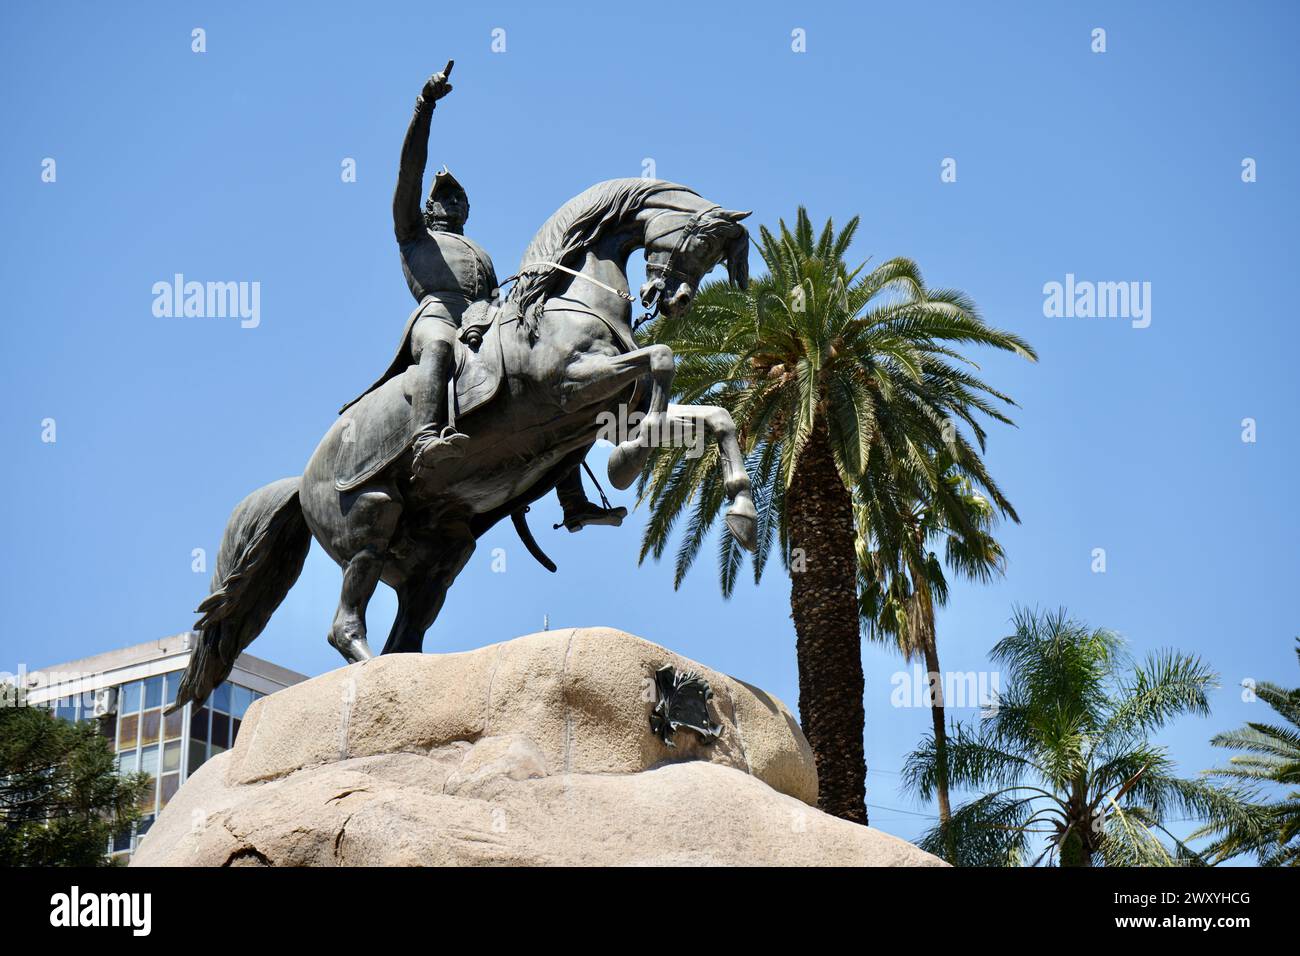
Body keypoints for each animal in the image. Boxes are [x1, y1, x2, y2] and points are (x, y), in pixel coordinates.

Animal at [178, 179, 759, 712]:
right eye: (700, 240)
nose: (673, 300)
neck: (564, 303)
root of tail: (298, 485)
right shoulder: (571, 384)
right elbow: (662, 358)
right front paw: (627, 462)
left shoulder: (612, 410)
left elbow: (716, 416)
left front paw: (743, 513)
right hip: (370, 519)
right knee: (346, 624)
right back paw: (374, 677)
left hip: (442, 556)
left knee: (405, 634)